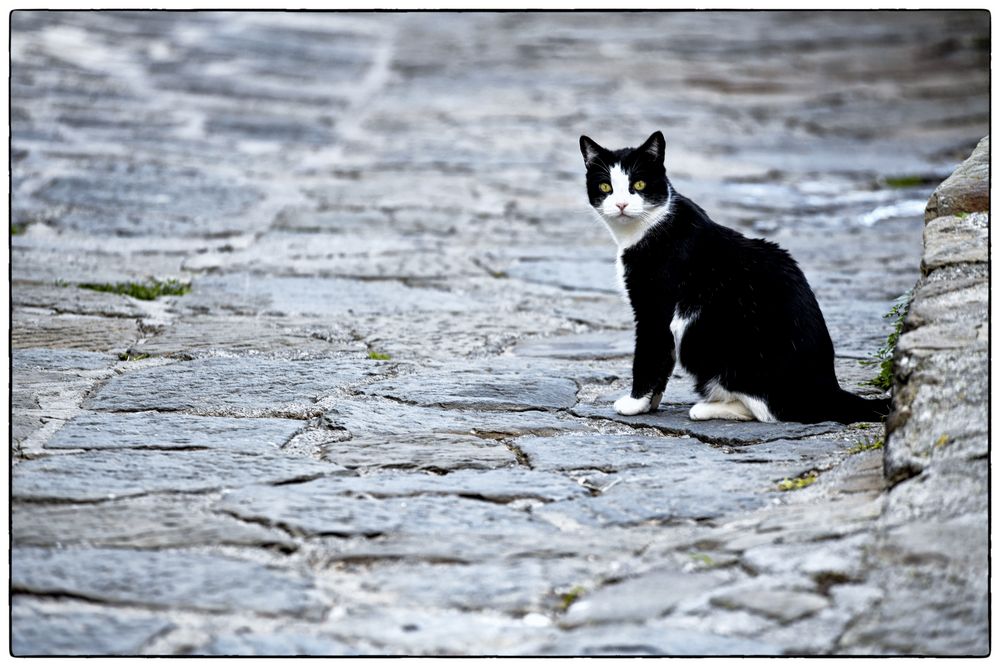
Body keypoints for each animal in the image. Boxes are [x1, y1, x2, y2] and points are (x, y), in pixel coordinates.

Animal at [580, 131, 892, 426]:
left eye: (640, 185)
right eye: (606, 187)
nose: (621, 204)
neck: (647, 229)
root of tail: (827, 387)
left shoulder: (655, 309)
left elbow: (649, 355)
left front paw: (634, 403)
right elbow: (663, 361)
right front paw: (650, 404)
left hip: (707, 335)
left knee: (770, 410)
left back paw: (705, 408)